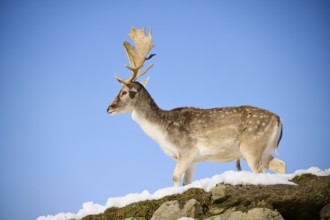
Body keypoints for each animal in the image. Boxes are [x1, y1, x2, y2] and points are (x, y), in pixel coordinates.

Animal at [108, 26, 286, 186]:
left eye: (124, 92)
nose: (108, 108)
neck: (162, 132)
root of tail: (278, 119)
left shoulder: (186, 150)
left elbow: (175, 177)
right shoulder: (194, 160)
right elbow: (186, 182)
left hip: (252, 146)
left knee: (260, 170)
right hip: (265, 150)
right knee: (280, 164)